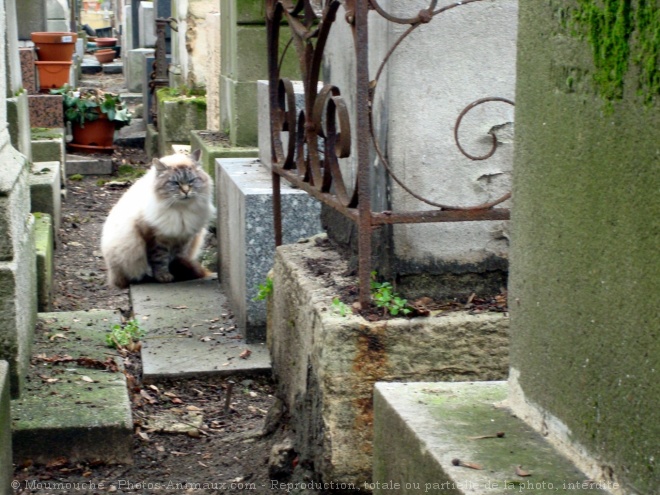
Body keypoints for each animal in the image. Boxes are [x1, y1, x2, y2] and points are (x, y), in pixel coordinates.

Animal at [100, 151, 215, 290]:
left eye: (191, 181)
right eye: (175, 183)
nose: (186, 191)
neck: (180, 211)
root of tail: (112, 277)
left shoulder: (183, 239)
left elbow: (177, 259)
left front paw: (176, 272)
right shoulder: (156, 239)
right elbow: (159, 261)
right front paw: (164, 277)